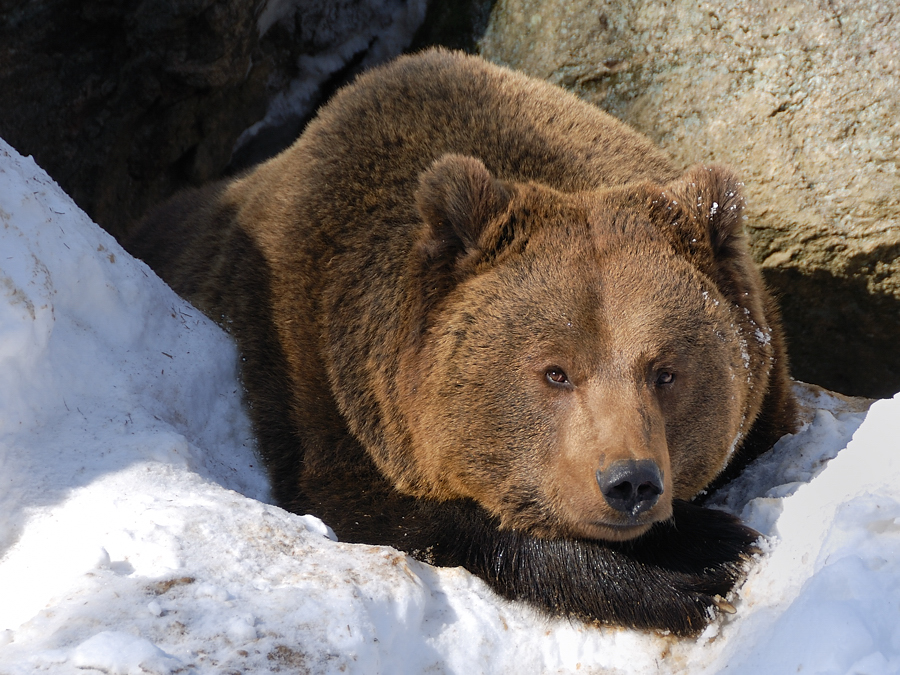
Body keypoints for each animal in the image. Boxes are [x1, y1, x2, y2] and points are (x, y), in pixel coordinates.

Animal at [125, 48, 796, 640]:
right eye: (555, 372)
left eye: (665, 371)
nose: (629, 482)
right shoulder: (321, 377)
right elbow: (416, 515)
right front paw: (699, 562)